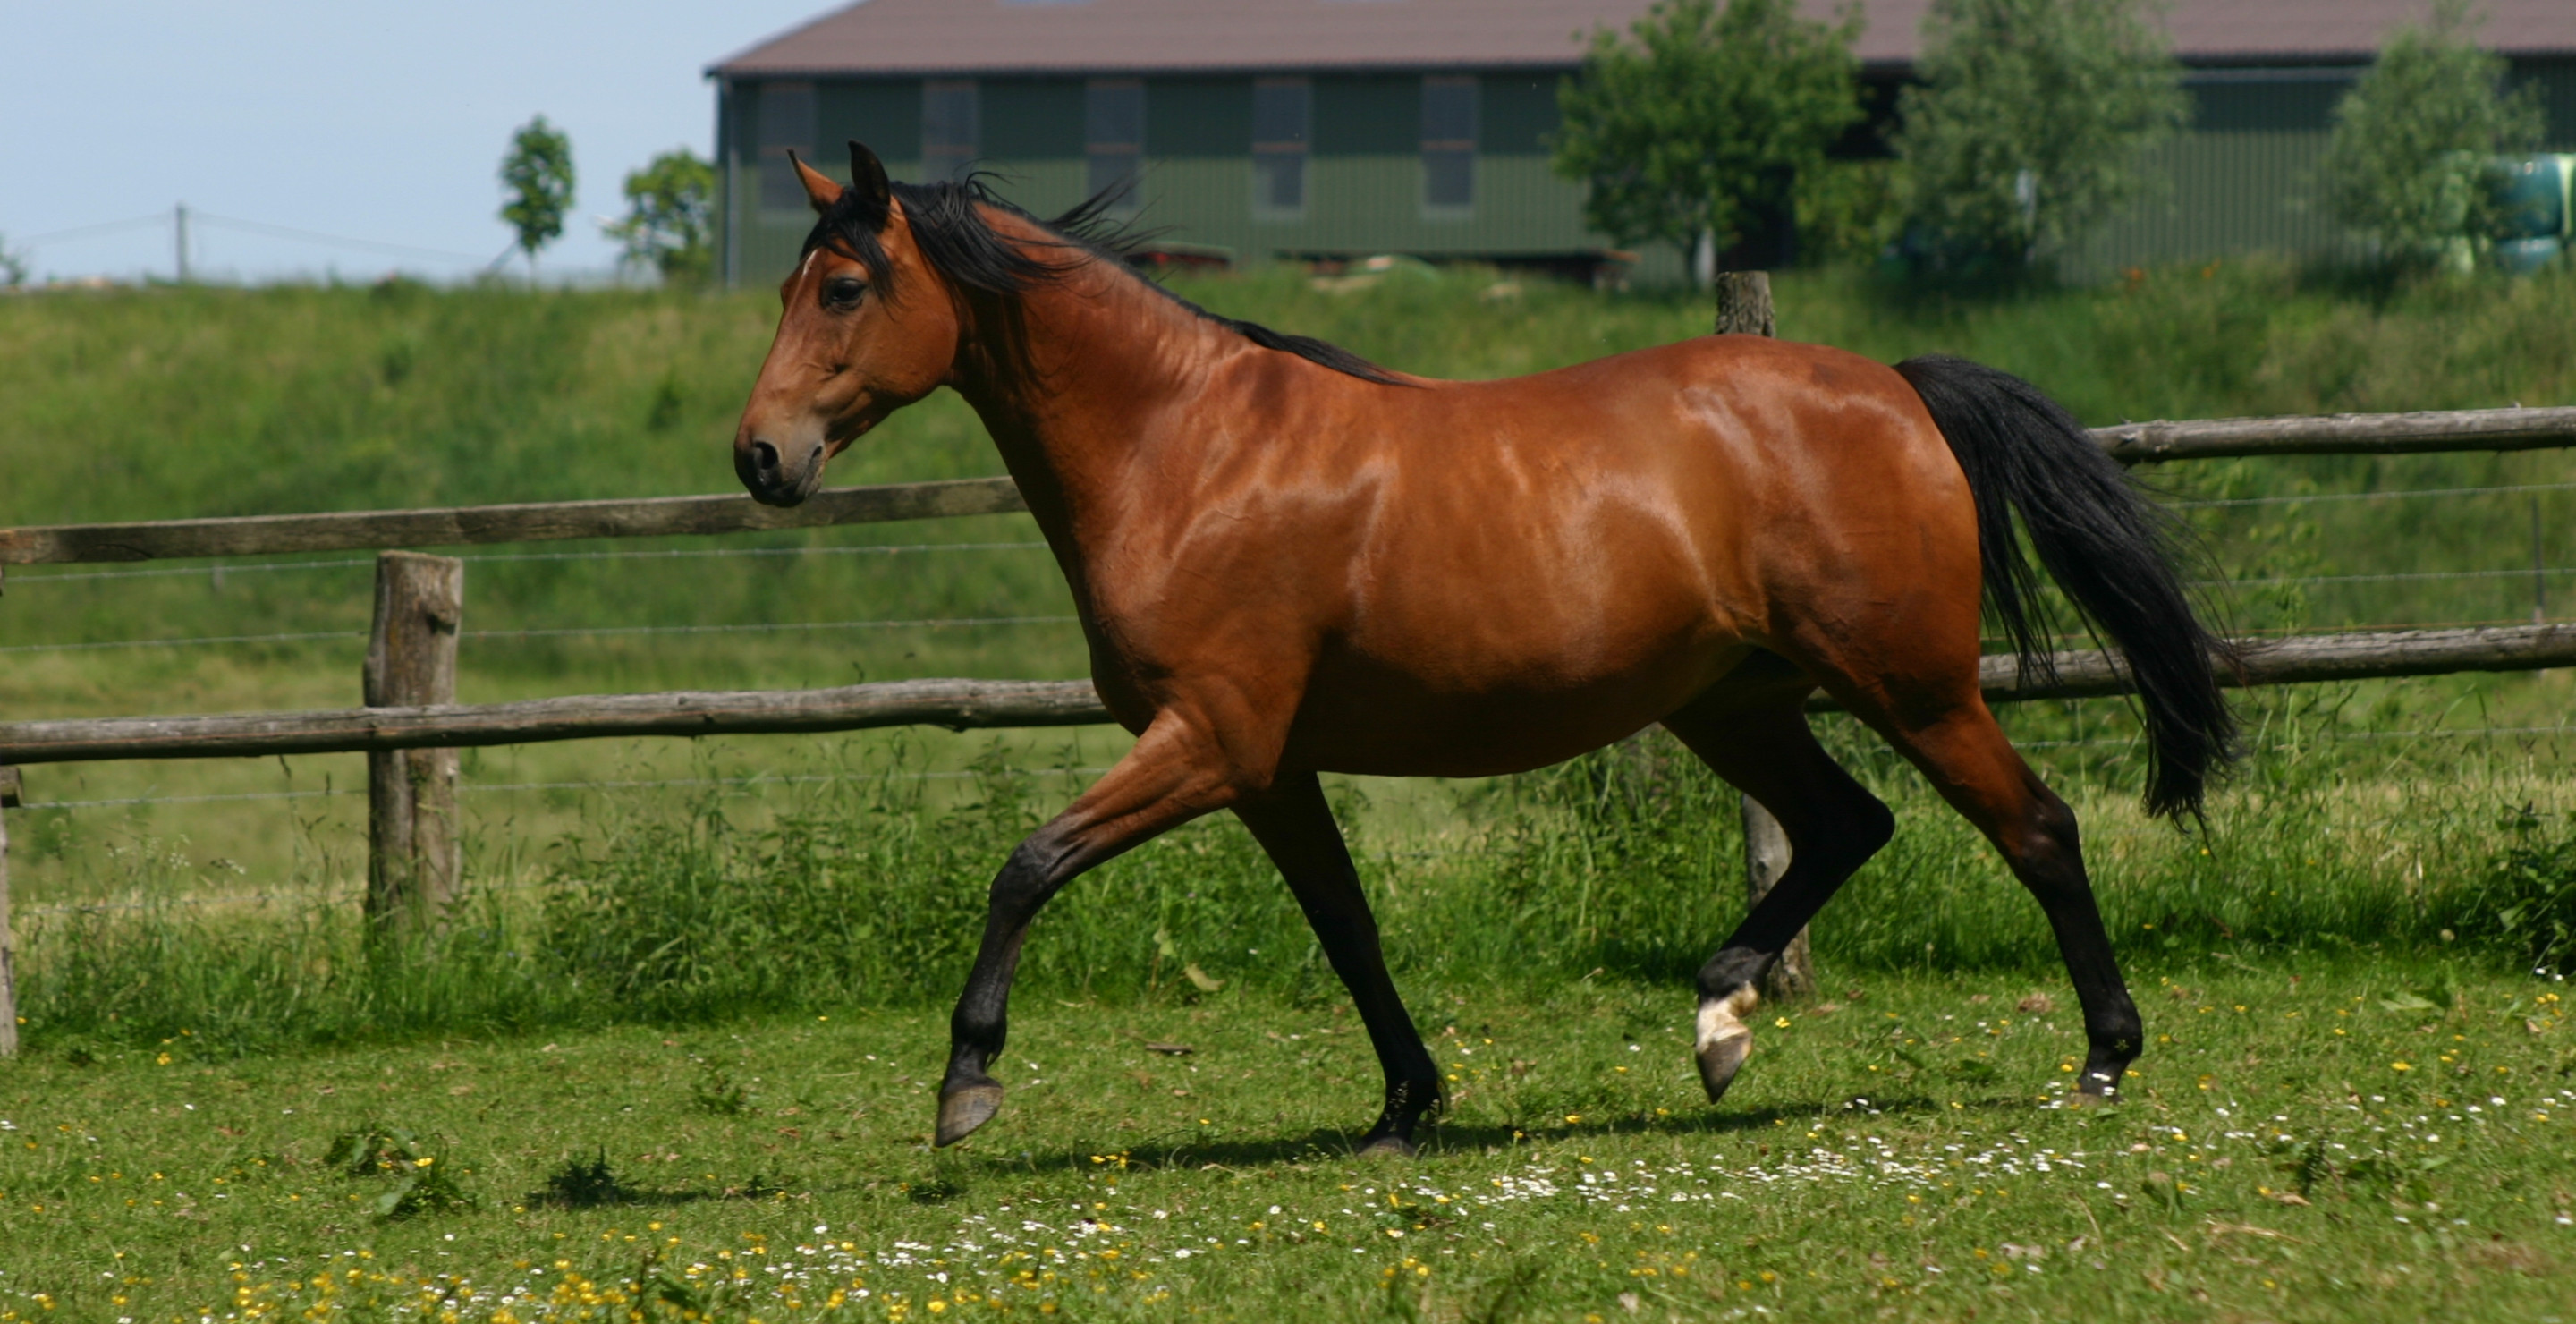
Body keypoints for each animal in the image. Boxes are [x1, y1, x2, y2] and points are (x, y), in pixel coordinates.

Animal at [731, 147, 2235, 1153]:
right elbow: (1346, 928)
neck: (1183, 450)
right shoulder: (1266, 766)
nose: (760, 458)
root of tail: (1900, 390)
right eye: (793, 283)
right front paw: (1409, 1105)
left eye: (846, 286)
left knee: (2034, 828)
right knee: (1843, 825)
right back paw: (1720, 1022)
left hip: (1910, 687)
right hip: (1733, 705)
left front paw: (965, 1086)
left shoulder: (1209, 739)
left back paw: (2104, 1059)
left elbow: (1028, 864)